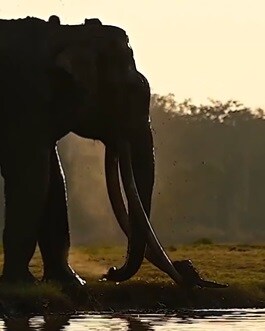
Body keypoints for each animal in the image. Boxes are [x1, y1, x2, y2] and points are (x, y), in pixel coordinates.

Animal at [0, 15, 225, 290]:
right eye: (128, 93)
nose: (110, 271)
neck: (66, 32)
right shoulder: (25, 99)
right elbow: (31, 178)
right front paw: (21, 284)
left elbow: (54, 179)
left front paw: (72, 283)